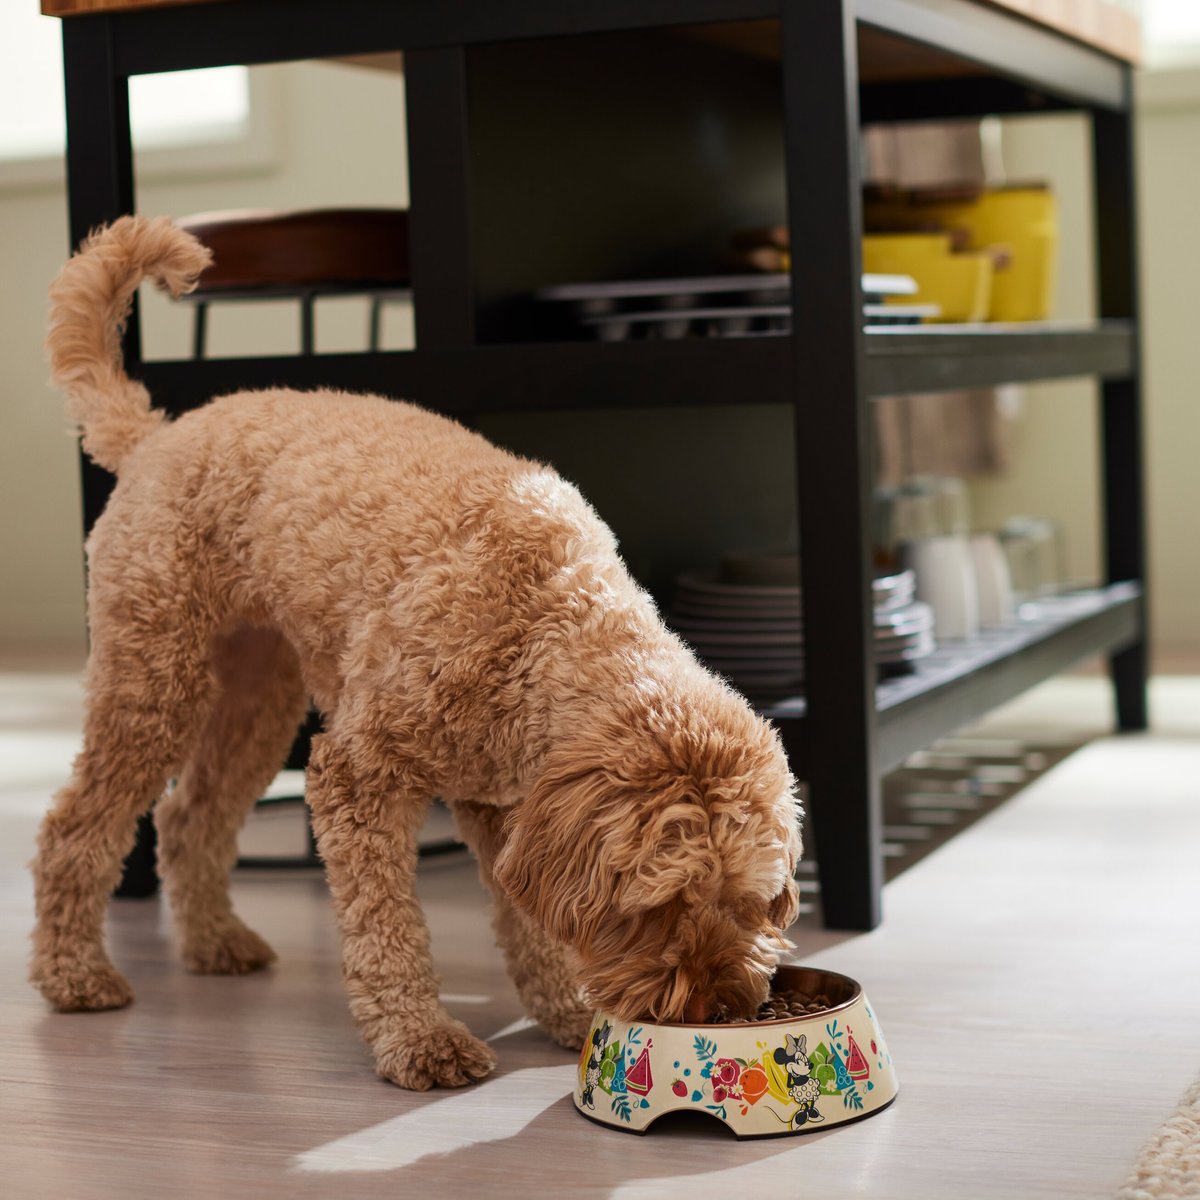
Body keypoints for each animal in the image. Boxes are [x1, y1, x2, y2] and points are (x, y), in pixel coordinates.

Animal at [30, 216, 796, 1089]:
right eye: (661, 905)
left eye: (750, 901)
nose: (721, 1009)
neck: (545, 624)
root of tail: (156, 436)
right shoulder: (358, 775)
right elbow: (386, 926)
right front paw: (421, 1040)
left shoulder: (508, 805)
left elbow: (528, 923)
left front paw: (566, 1012)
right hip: (154, 674)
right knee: (77, 822)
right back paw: (74, 973)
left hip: (256, 695)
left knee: (190, 815)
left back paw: (214, 942)